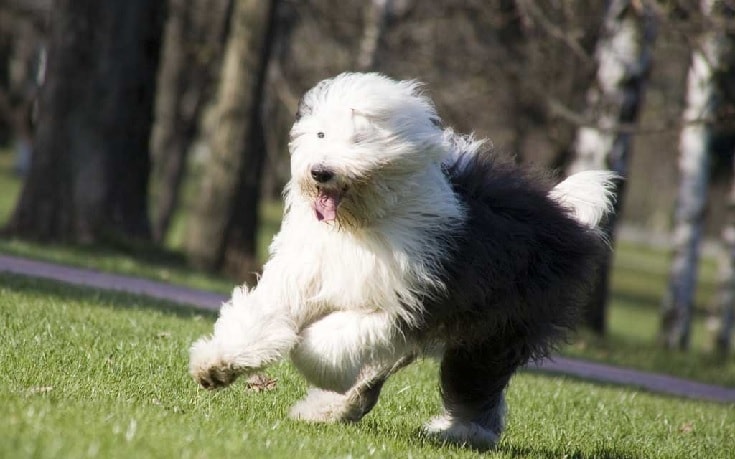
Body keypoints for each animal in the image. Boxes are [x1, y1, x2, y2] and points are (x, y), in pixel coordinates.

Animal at [190, 72, 616, 450]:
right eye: (321, 135)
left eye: (359, 138)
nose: (320, 171)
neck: (358, 224)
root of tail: (563, 215)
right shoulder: (303, 274)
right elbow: (263, 316)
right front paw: (217, 364)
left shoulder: (397, 305)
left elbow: (326, 343)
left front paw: (309, 357)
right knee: (381, 374)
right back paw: (330, 410)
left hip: (498, 327)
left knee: (475, 380)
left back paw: (462, 433)